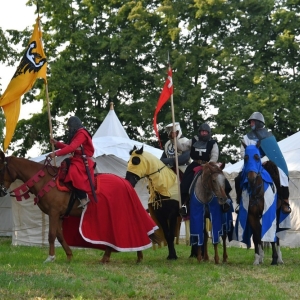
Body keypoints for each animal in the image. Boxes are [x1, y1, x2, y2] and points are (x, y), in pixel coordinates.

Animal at [0, 150, 162, 262]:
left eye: (1, 169)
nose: (1, 191)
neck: (45, 181)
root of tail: (126, 183)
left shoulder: (53, 212)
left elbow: (51, 235)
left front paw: (50, 257)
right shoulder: (59, 215)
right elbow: (59, 235)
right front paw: (69, 255)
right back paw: (118, 257)